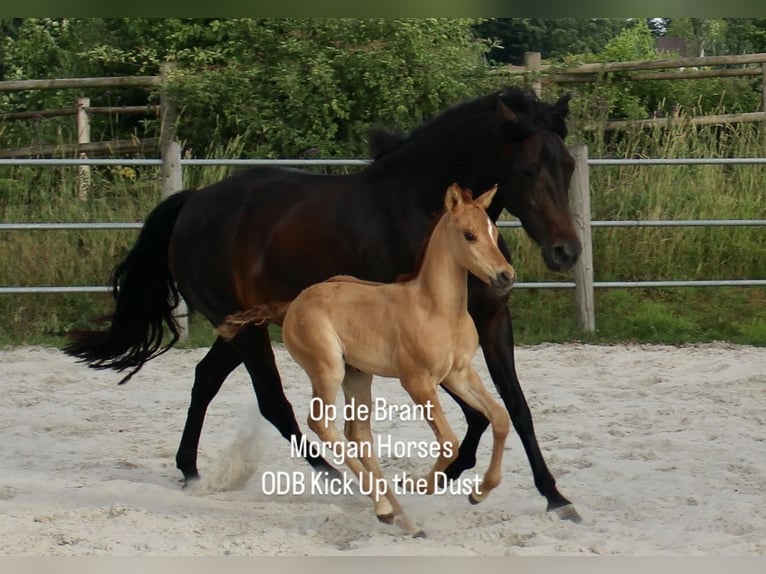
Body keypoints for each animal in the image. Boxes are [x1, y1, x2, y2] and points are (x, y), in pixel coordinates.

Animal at [218, 184, 514, 536]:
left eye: (495, 232)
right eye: (469, 235)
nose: (506, 276)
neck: (437, 308)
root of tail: (294, 303)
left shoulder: (458, 373)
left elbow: (500, 417)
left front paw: (480, 492)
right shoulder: (417, 382)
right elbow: (449, 442)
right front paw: (417, 484)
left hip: (357, 375)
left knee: (358, 434)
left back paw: (401, 518)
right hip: (327, 370)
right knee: (321, 423)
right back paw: (386, 507)